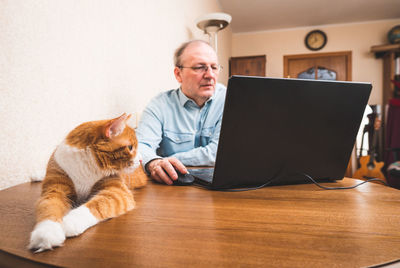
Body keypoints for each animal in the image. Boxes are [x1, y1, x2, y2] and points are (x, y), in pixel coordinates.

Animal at [28, 113, 147, 253]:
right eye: (130, 147)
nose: (141, 159)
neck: (86, 167)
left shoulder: (117, 192)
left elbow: (96, 206)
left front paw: (70, 221)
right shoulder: (55, 188)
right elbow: (49, 207)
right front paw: (47, 232)